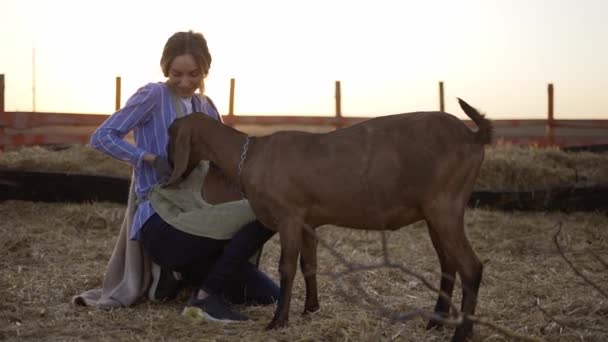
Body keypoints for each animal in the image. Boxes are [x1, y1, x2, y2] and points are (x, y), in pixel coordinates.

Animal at [167, 97, 494, 340]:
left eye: (171, 135)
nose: (167, 165)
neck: (251, 156)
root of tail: (473, 136)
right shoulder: (307, 220)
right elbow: (309, 265)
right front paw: (310, 309)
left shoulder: (288, 215)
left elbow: (287, 267)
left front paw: (279, 321)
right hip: (435, 212)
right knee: (448, 264)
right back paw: (435, 322)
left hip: (445, 205)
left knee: (470, 267)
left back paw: (462, 333)